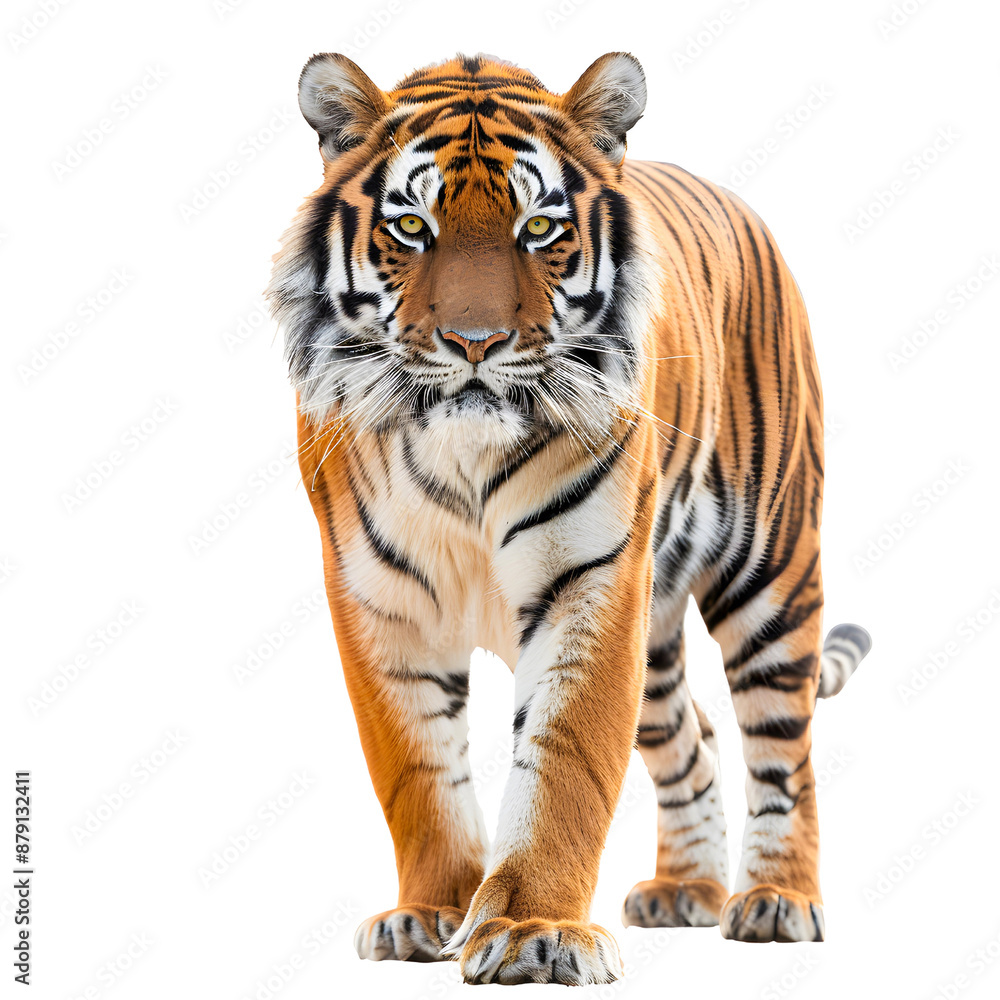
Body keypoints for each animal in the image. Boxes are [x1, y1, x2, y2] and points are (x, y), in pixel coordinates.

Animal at [266, 50, 872, 986]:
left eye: (540, 228)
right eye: (411, 227)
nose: (474, 342)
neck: (464, 456)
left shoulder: (589, 583)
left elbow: (566, 764)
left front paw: (535, 929)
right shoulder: (379, 599)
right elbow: (416, 772)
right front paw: (430, 912)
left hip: (772, 572)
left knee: (784, 747)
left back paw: (776, 900)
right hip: (656, 636)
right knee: (691, 731)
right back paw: (685, 890)